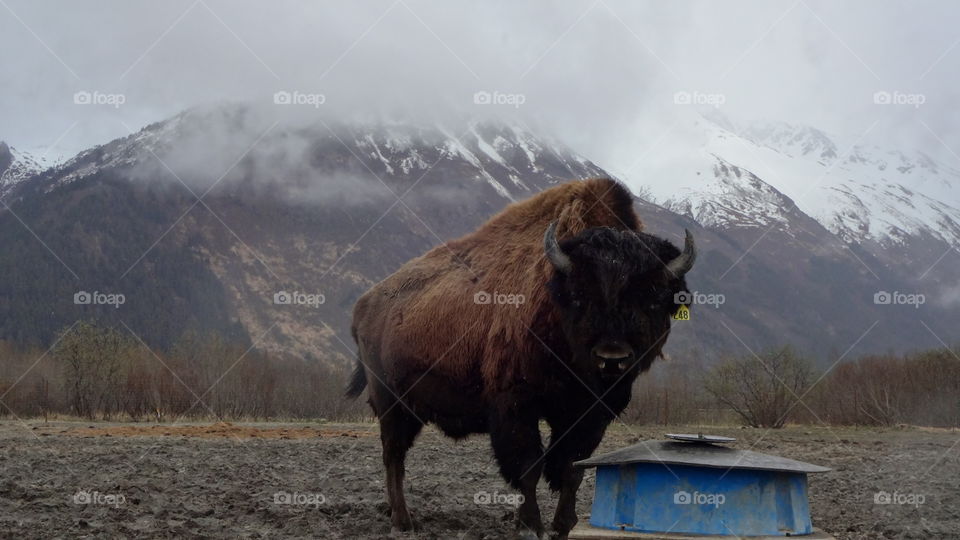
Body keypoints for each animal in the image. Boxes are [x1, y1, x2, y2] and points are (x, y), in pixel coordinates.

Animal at [348, 179, 692, 536]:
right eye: (580, 295)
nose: (612, 357)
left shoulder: (591, 413)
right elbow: (529, 466)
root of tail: (364, 305)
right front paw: (530, 525)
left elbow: (573, 466)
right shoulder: (515, 405)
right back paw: (403, 521)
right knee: (393, 456)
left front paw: (563, 525)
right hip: (390, 403)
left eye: (653, 297)